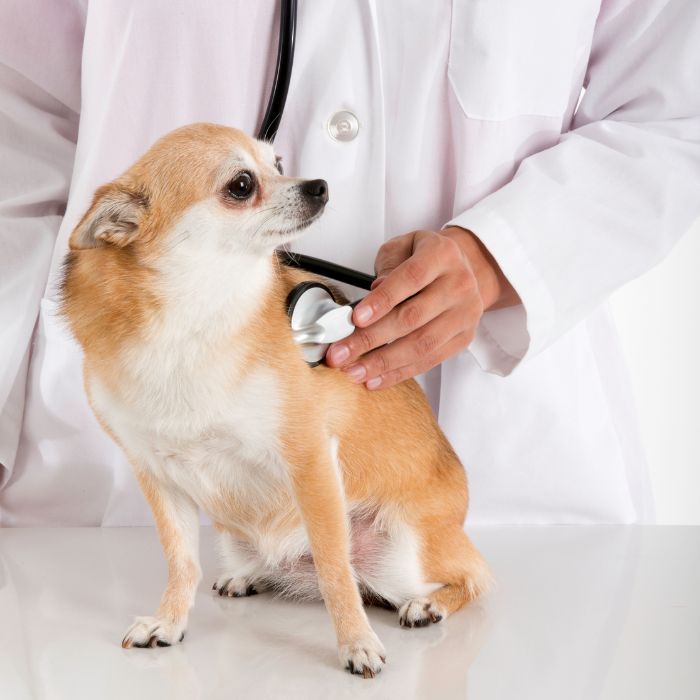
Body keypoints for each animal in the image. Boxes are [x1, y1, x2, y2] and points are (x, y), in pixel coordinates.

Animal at [61, 123, 492, 676]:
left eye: (279, 164)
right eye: (243, 185)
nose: (319, 185)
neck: (196, 319)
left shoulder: (310, 460)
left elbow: (334, 566)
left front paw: (356, 642)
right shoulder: (156, 474)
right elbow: (181, 561)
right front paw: (169, 621)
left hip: (404, 548)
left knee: (472, 575)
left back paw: (429, 603)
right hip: (237, 542)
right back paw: (248, 577)